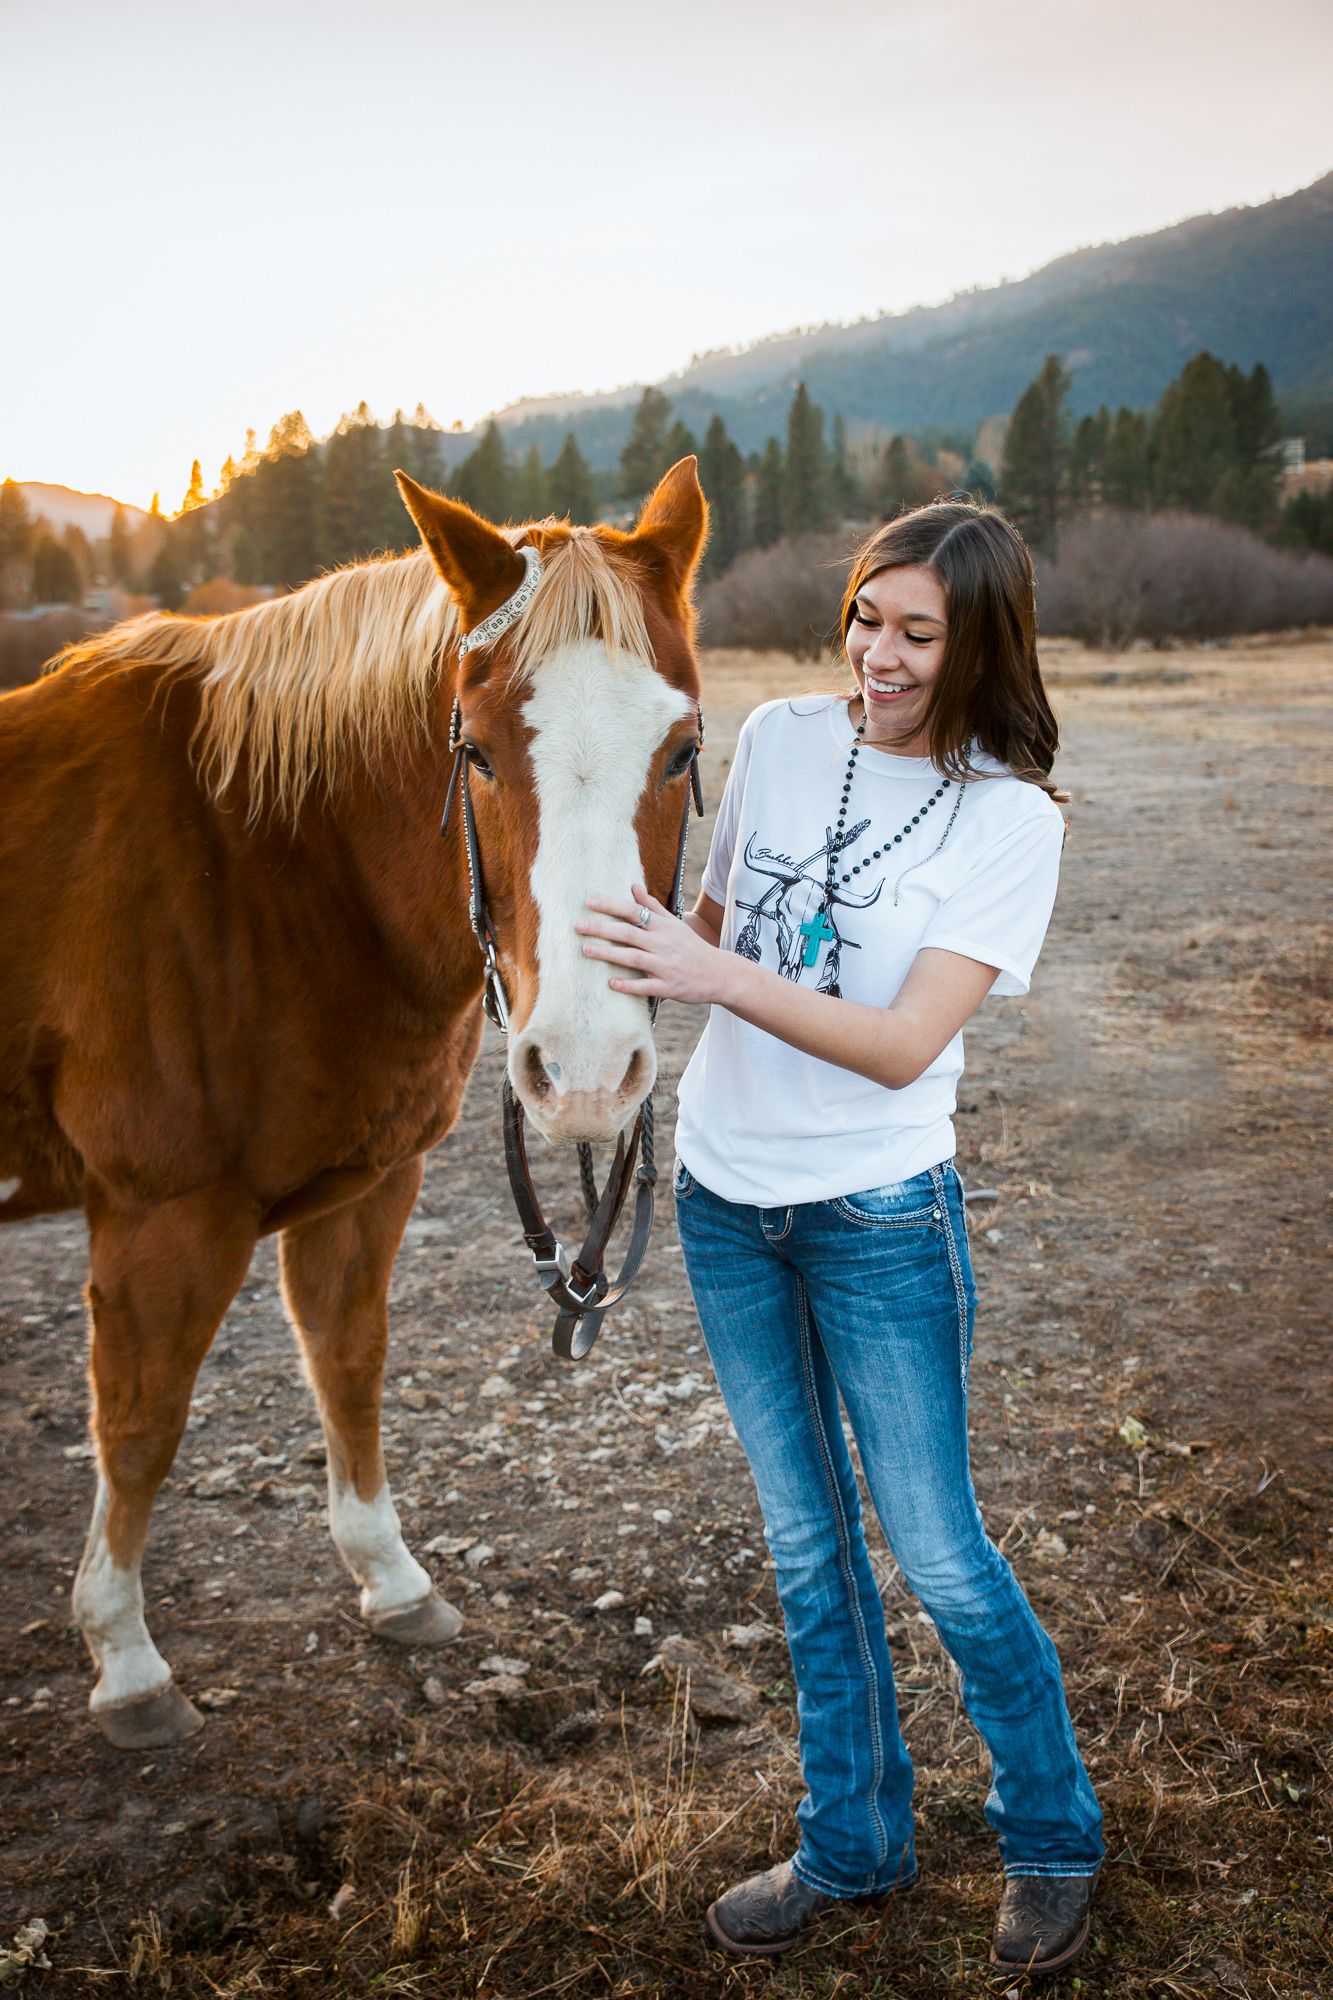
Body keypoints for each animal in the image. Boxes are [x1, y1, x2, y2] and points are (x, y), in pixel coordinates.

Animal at [0, 459, 707, 1749]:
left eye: (678, 750)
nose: (584, 1070)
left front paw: (391, 1577)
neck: (265, 861)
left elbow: (350, 1362)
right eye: (474, 750)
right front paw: (124, 1658)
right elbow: (139, 1422)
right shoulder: (162, 1215)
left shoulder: (367, 1187)